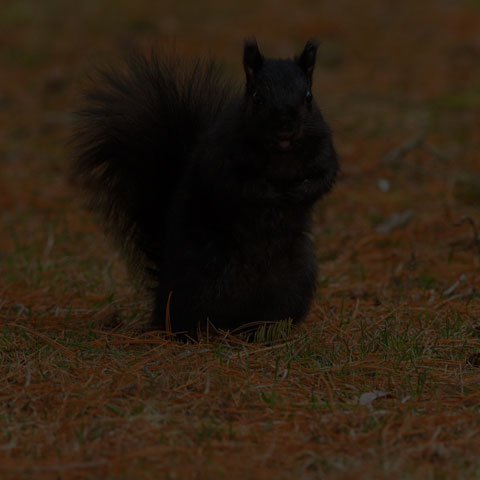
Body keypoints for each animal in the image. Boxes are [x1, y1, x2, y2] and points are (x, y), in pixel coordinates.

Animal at [73, 39, 340, 336]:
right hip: (200, 281)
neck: (281, 155)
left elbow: (325, 177)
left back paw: (266, 332)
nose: (285, 126)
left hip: (295, 281)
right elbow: (236, 184)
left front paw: (298, 191)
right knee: (184, 317)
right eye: (257, 98)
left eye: (309, 97)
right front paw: (269, 192)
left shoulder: (323, 149)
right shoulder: (221, 154)